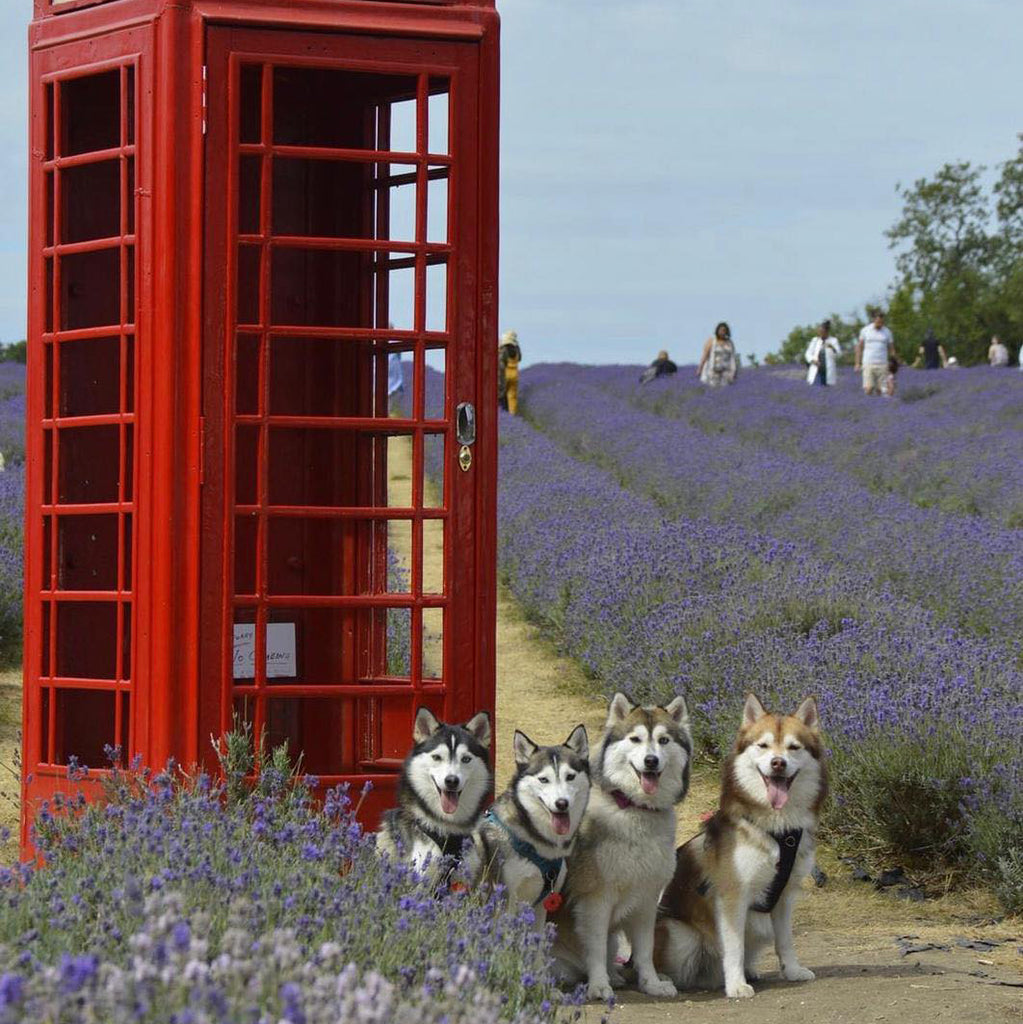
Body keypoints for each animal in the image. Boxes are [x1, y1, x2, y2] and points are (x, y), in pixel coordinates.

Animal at [548, 692, 692, 995]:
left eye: (663, 740)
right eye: (635, 739)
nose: (651, 761)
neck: (634, 808)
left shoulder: (647, 899)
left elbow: (645, 950)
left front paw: (651, 983)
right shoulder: (595, 901)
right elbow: (595, 947)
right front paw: (599, 986)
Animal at [655, 692, 831, 995]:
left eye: (794, 747)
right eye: (763, 745)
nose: (778, 763)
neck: (778, 830)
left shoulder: (784, 897)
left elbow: (786, 940)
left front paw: (792, 970)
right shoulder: (732, 896)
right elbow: (734, 946)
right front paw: (736, 985)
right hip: (680, 936)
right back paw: (663, 979)